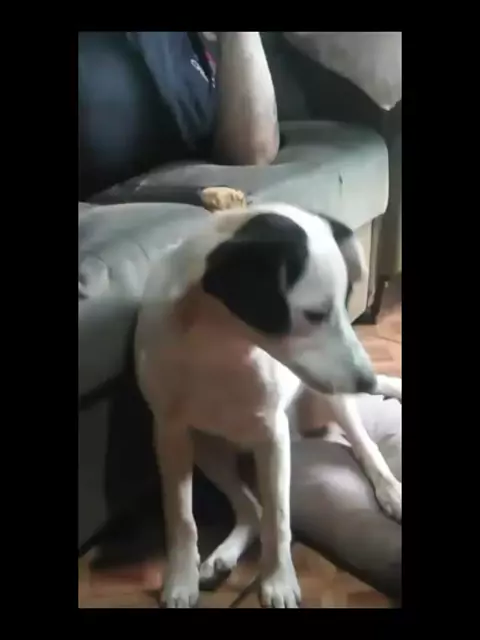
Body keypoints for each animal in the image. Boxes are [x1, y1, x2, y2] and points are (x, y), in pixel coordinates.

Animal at [134, 201, 402, 608]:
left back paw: (390, 490)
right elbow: (181, 517)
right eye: (314, 315)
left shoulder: (272, 437)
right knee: (251, 511)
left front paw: (278, 580)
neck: (219, 343)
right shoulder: (170, 433)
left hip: (330, 398)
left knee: (363, 445)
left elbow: (278, 519)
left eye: (346, 303)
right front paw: (181, 579)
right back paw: (221, 559)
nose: (367, 382)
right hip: (207, 448)